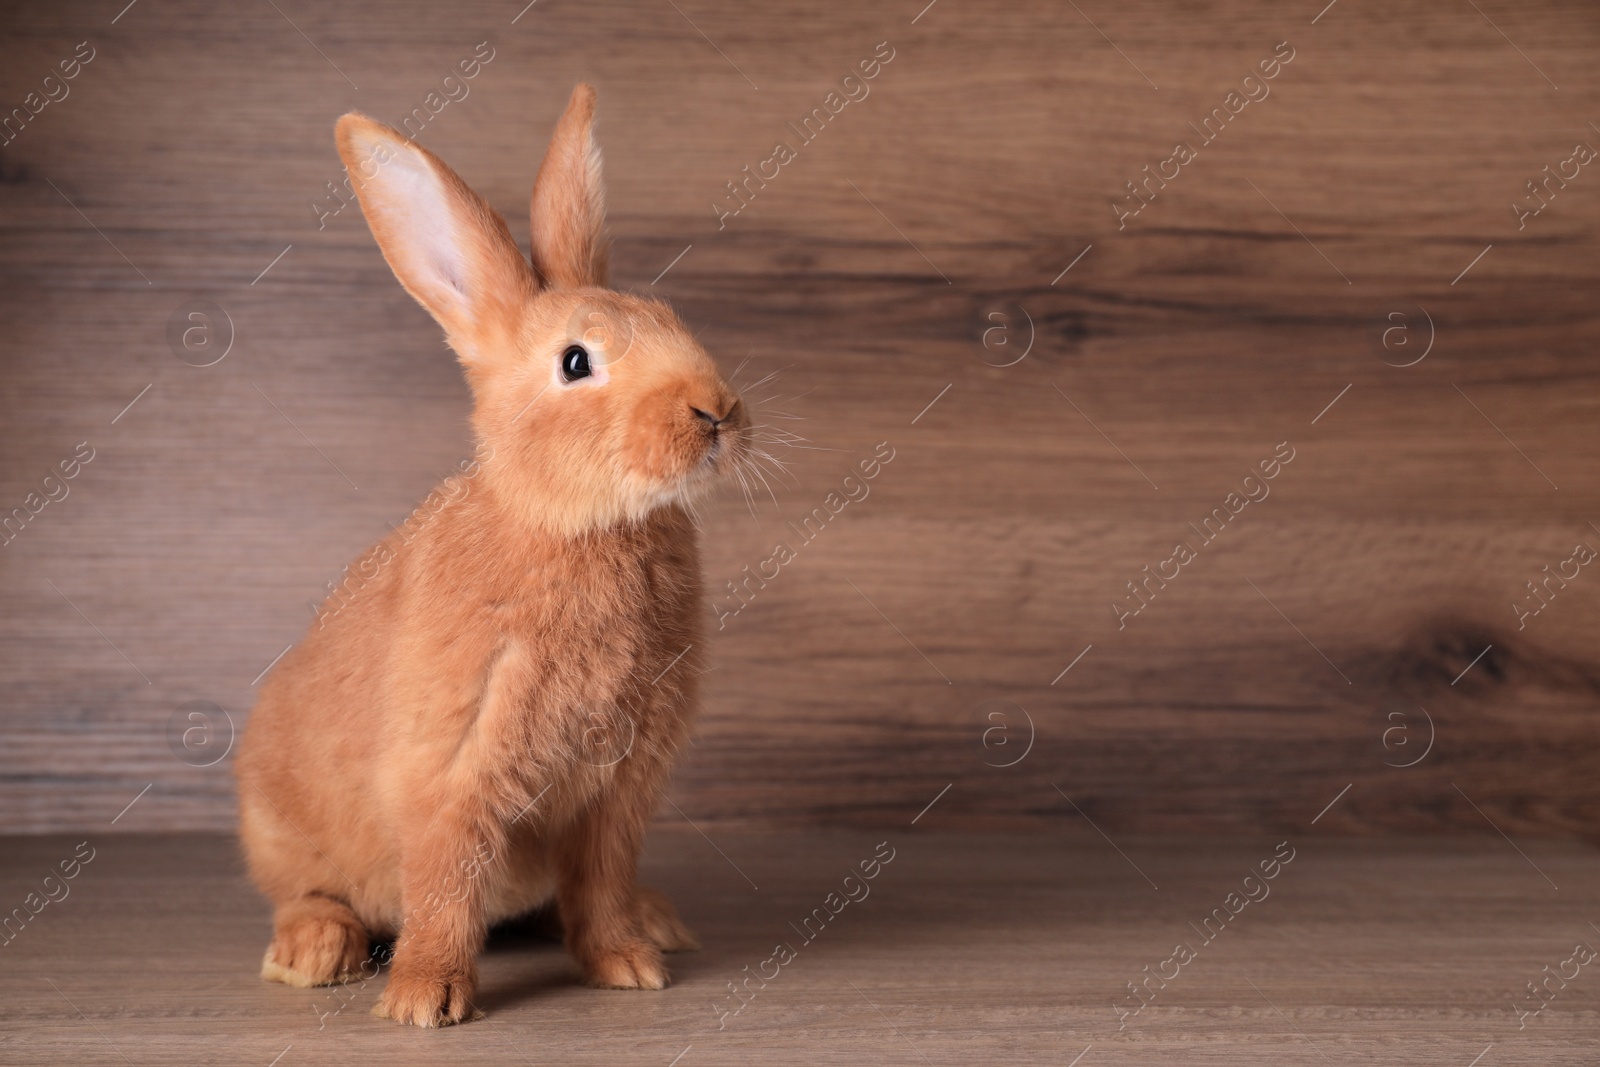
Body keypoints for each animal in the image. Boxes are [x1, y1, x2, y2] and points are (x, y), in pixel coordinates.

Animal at [233, 83, 745, 1023]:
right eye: (575, 362)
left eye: (672, 319)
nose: (716, 411)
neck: (573, 520)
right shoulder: (453, 766)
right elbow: (447, 879)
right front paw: (423, 1000)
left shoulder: (619, 791)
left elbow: (602, 882)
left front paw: (626, 964)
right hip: (282, 829)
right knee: (308, 890)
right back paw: (312, 951)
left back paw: (657, 923)